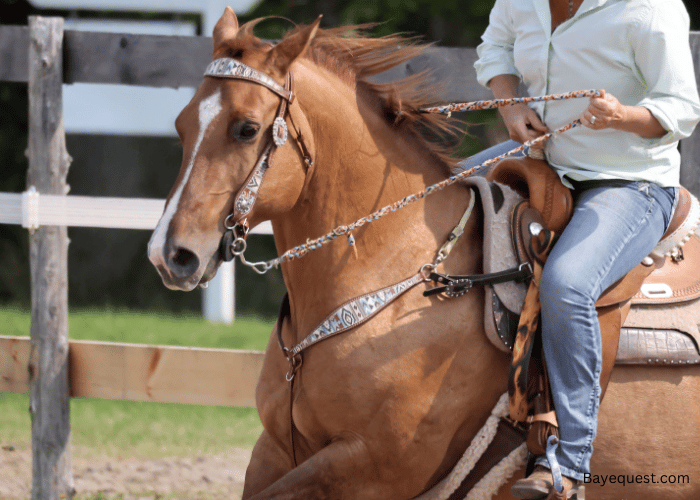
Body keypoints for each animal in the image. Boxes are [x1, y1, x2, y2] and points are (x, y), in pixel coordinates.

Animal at [148, 8, 700, 500]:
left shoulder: (369, 466)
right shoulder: (278, 448)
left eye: (245, 128)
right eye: (180, 125)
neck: (396, 276)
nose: (169, 254)